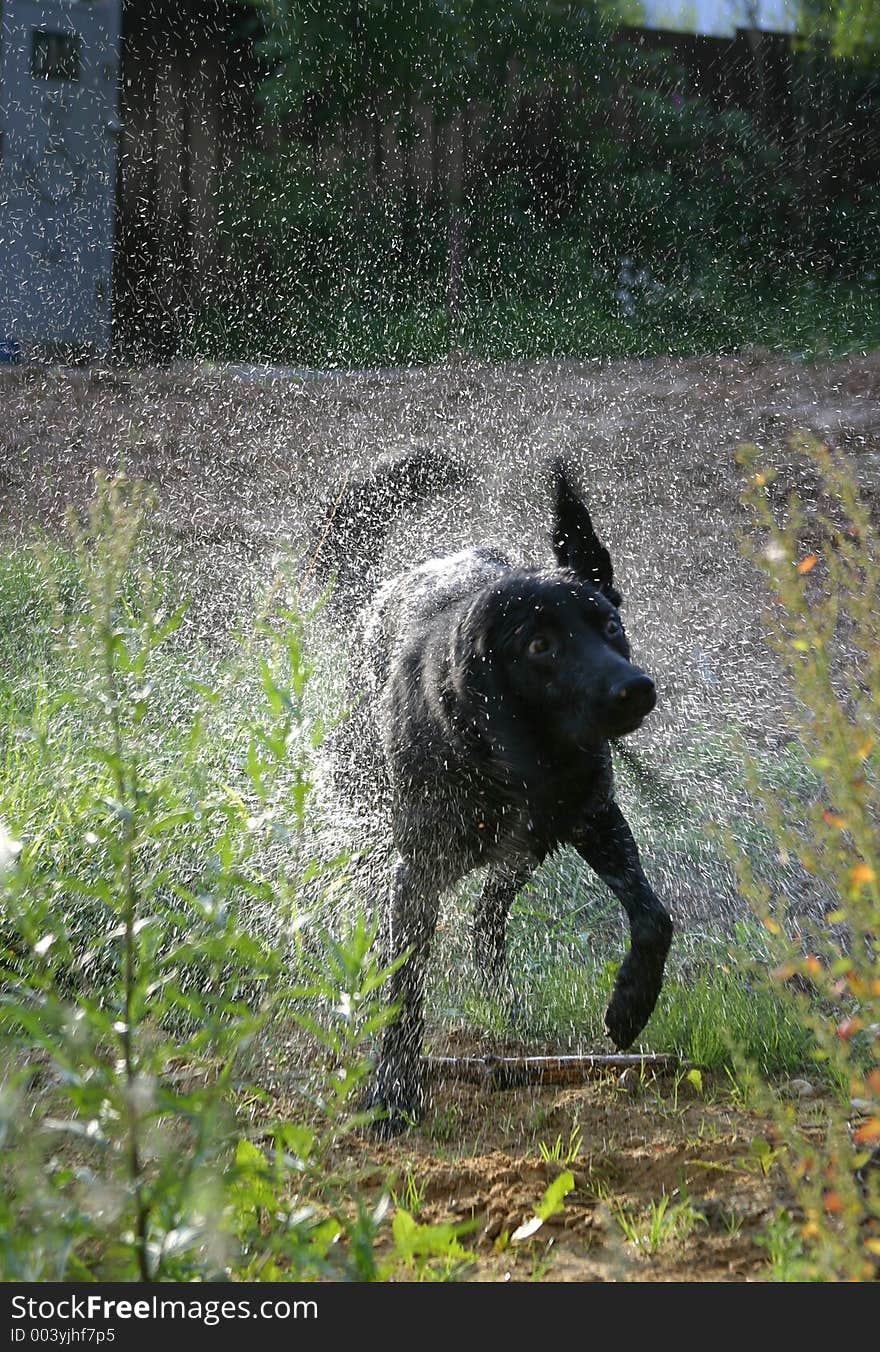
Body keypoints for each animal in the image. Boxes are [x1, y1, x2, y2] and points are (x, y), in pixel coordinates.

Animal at [316, 459, 675, 1135]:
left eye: (610, 626)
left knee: (487, 920)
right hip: (368, 800)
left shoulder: (592, 815)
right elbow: (405, 988)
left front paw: (631, 1005)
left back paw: (505, 1000)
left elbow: (653, 917)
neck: (508, 749)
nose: (635, 689)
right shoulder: (417, 870)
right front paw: (393, 1092)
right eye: (539, 646)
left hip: (526, 848)